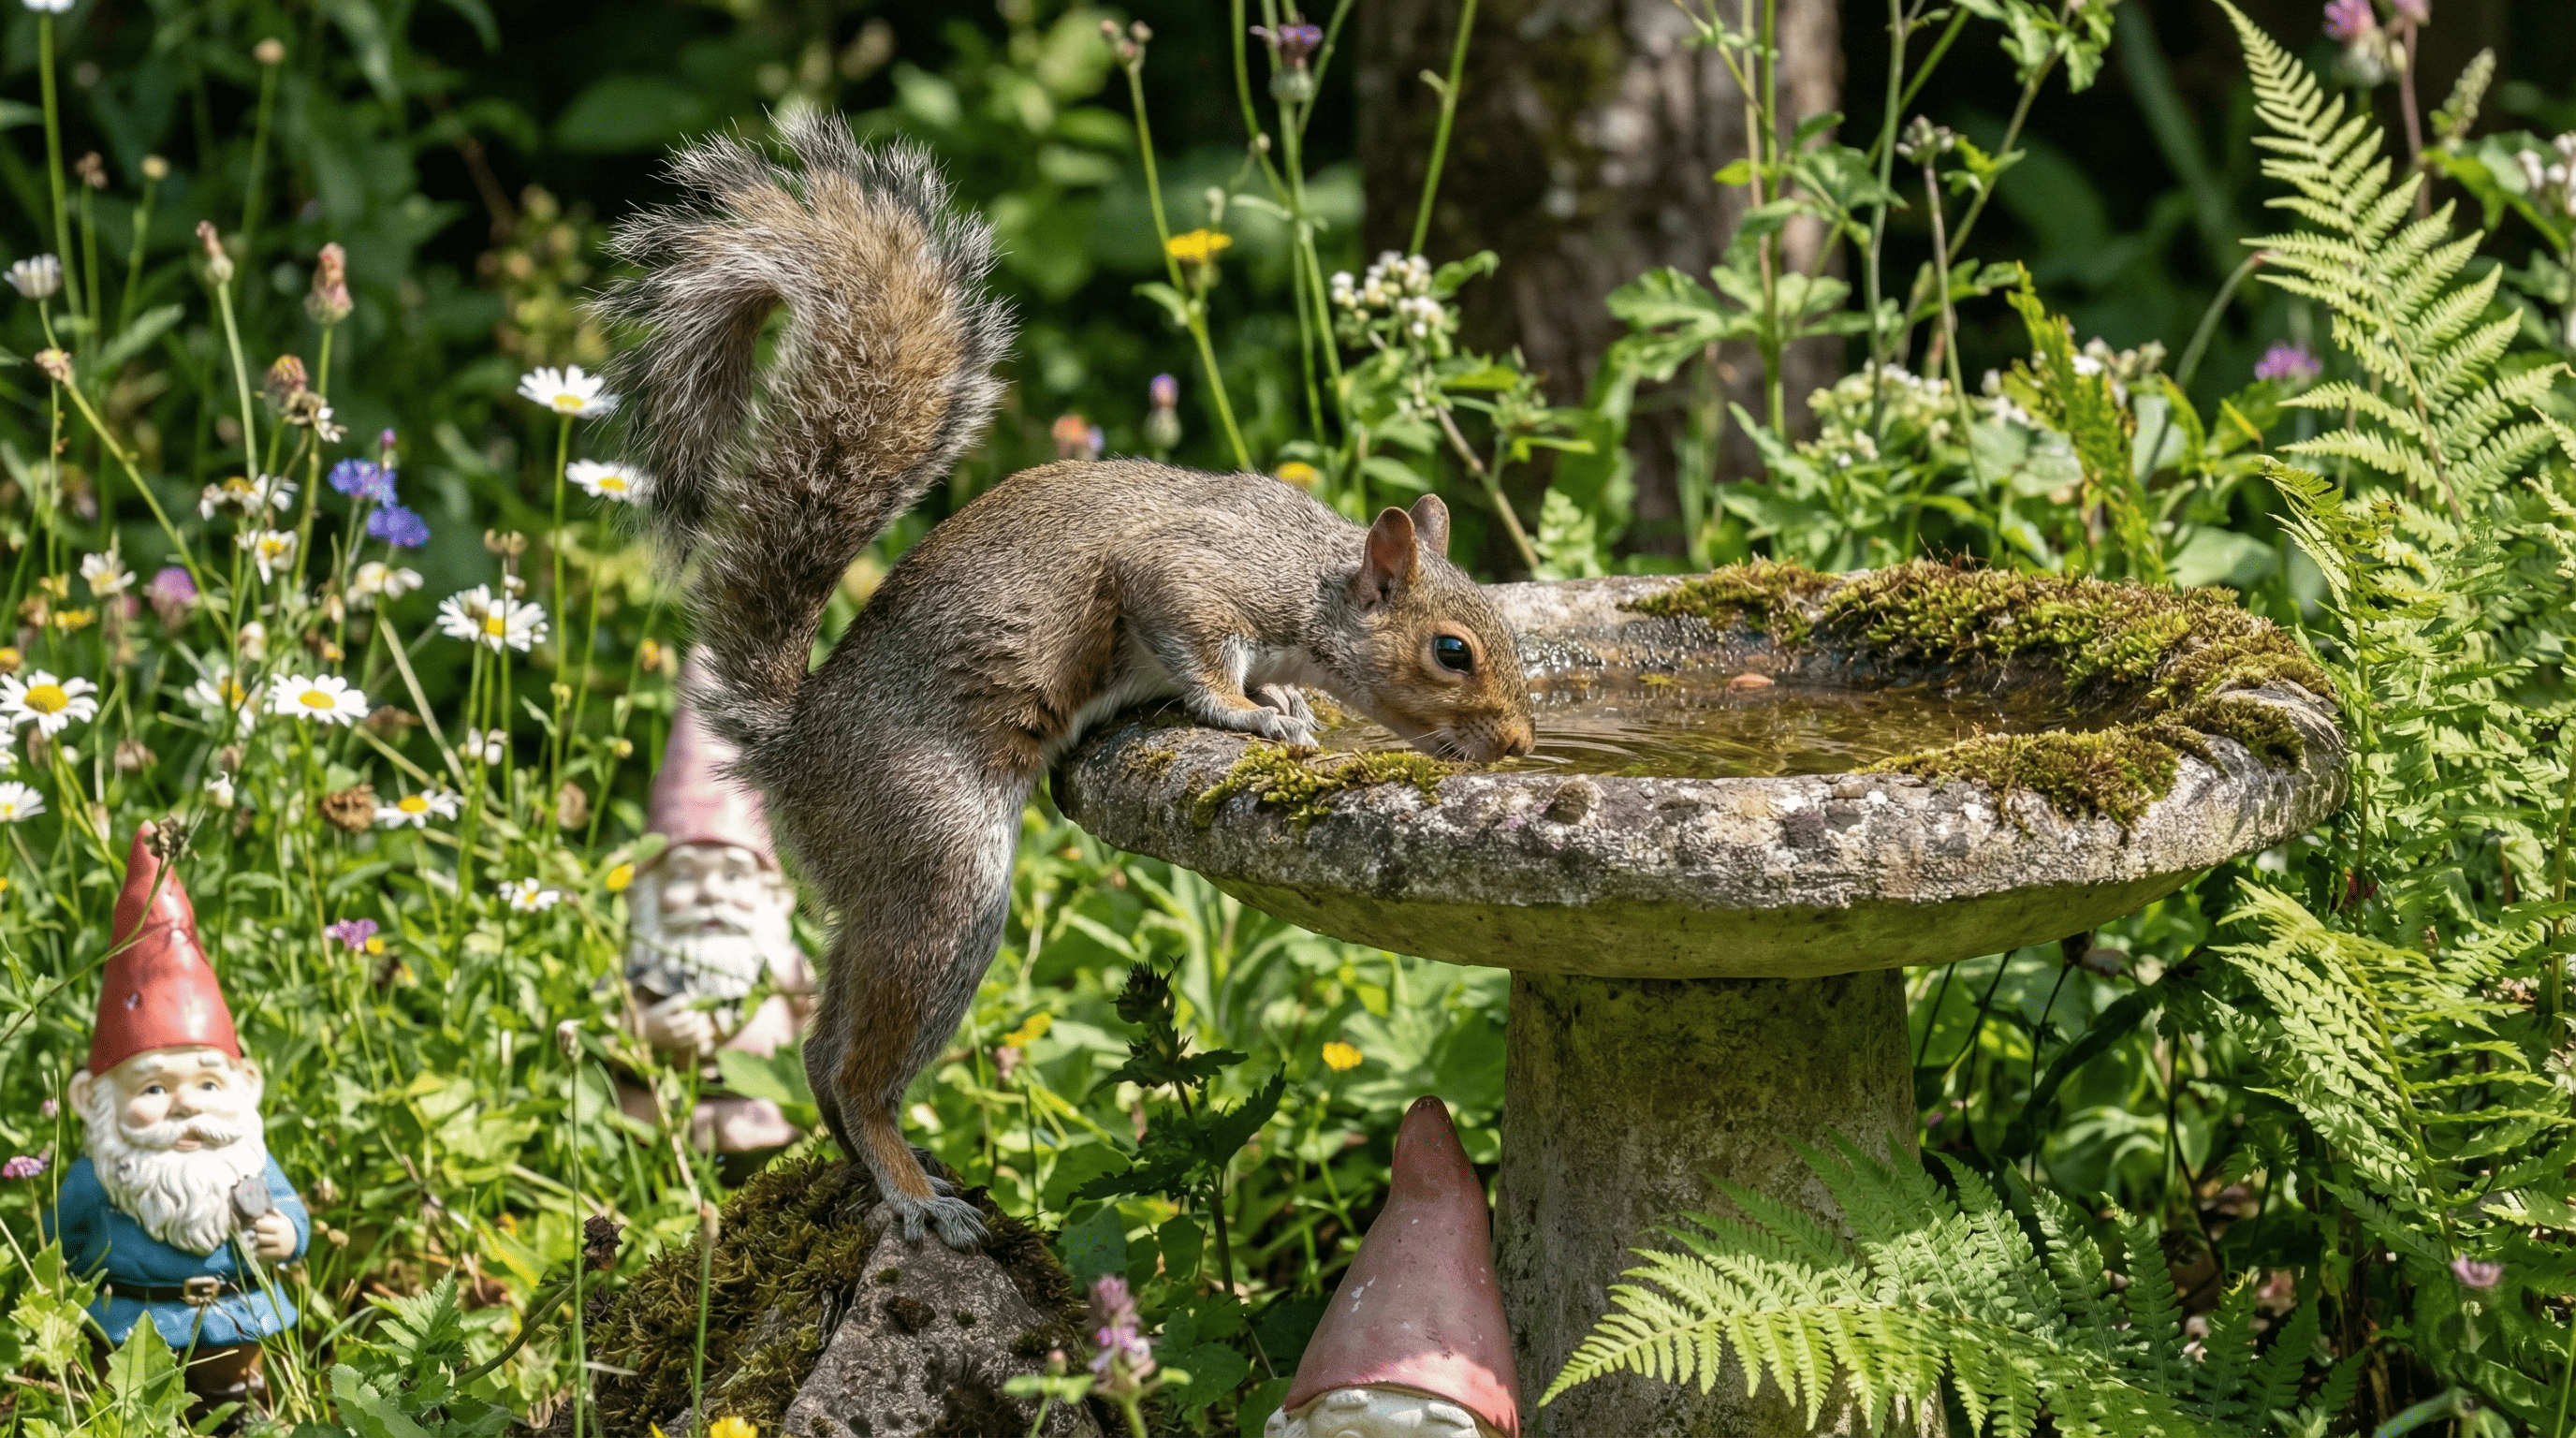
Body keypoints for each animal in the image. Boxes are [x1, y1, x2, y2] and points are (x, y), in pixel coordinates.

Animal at [604, 115, 1537, 1247]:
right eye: (1452, 650)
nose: (1521, 745)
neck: (1314, 577)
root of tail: (795, 743)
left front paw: (1286, 701)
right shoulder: (1188, 578)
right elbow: (1192, 645)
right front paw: (1253, 713)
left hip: (872, 890)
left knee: (821, 1055)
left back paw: (891, 1172)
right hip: (935, 859)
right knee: (862, 1065)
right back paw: (913, 1194)